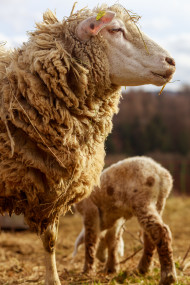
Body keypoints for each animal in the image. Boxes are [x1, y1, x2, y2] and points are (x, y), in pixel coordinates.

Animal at [0, 3, 175, 284]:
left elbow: (50, 240)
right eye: (115, 29)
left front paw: (54, 279)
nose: (172, 62)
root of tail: (162, 174)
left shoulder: (51, 188)